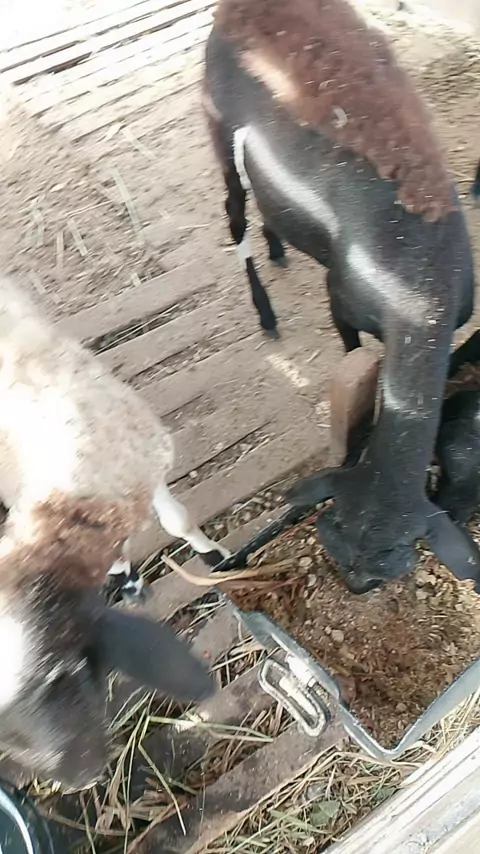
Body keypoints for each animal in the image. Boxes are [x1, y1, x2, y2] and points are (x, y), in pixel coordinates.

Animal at [0, 277, 228, 788]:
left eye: (60, 672)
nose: (78, 777)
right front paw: (128, 579)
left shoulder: (150, 470)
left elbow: (177, 521)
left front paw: (214, 556)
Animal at [203, 0, 480, 594]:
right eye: (333, 539)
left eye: (382, 575)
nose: (353, 588)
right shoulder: (342, 301)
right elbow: (353, 357)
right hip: (216, 124)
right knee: (235, 214)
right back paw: (265, 311)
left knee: (269, 208)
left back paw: (279, 248)